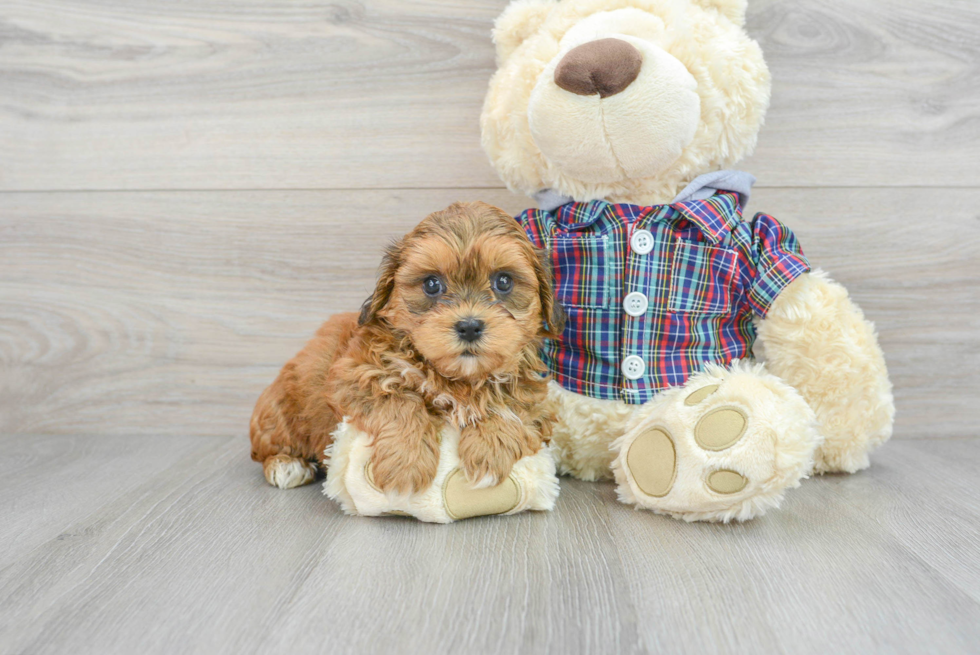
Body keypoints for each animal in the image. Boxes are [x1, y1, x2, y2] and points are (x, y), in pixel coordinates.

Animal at [249, 202, 564, 494]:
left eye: (504, 281)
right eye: (432, 284)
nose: (470, 327)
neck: (459, 379)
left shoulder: (536, 396)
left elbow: (512, 406)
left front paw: (489, 452)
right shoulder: (355, 375)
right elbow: (400, 402)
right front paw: (405, 465)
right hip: (280, 413)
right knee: (268, 448)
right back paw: (287, 466)